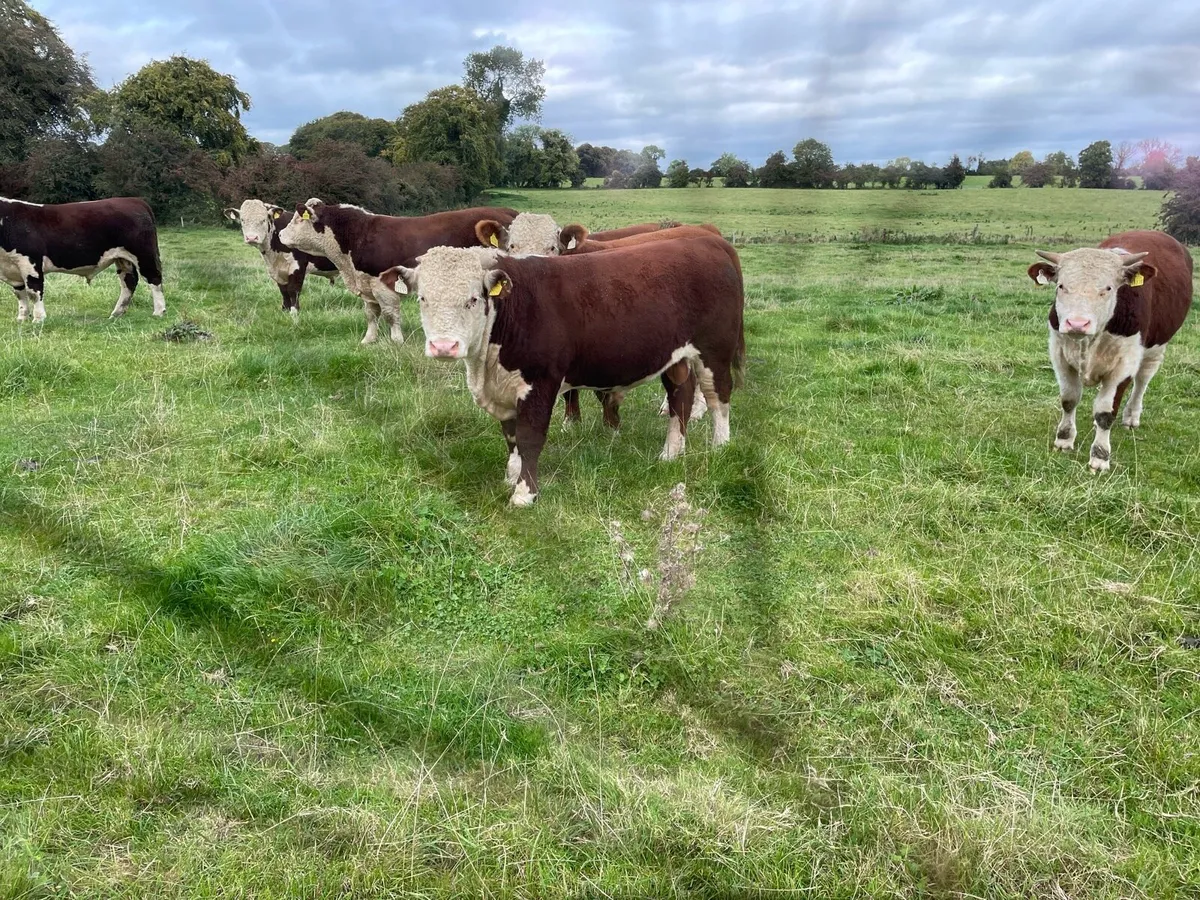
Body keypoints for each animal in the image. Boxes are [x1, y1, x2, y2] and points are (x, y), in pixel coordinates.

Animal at [0, 197, 165, 323]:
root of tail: (135, 200)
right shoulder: (12, 268)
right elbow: (20, 294)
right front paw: (22, 318)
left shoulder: (30, 262)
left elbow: (33, 291)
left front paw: (38, 319)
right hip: (123, 258)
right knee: (129, 282)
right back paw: (117, 313)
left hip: (144, 254)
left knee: (154, 278)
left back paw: (159, 311)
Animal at [278, 199, 518, 344]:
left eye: (298, 219)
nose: (279, 234)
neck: (359, 235)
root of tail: (508, 211)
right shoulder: (367, 284)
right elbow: (371, 314)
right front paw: (369, 339)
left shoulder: (383, 284)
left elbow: (390, 314)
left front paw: (396, 340)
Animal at [380, 235, 745, 506]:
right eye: (423, 298)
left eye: (473, 299)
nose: (444, 346)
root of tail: (708, 241)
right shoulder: (505, 386)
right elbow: (511, 436)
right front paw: (511, 475)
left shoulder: (541, 381)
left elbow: (530, 437)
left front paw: (524, 493)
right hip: (675, 355)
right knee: (680, 395)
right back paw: (671, 452)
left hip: (714, 350)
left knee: (718, 397)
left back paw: (720, 446)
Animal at [1028, 230, 1193, 472]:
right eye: (1061, 286)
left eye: (1107, 288)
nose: (1077, 323)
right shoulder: (1059, 354)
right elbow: (1069, 399)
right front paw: (1064, 440)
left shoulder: (1124, 364)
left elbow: (1106, 413)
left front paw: (1100, 456)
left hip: (1157, 347)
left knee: (1142, 380)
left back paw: (1131, 416)